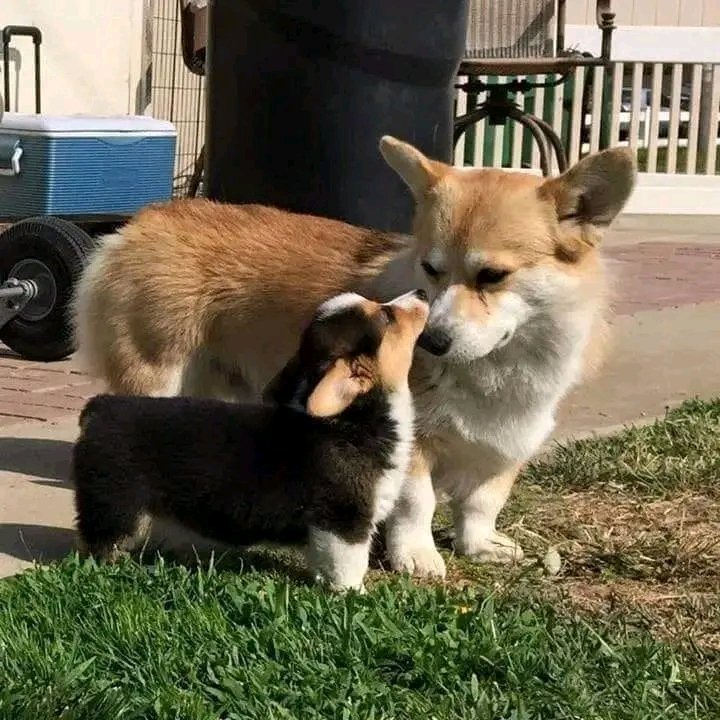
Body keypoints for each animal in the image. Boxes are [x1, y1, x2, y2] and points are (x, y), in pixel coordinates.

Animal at [70, 290, 428, 592]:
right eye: (387, 316)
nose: (422, 293)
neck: (357, 417)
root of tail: (99, 410)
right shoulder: (344, 520)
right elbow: (349, 565)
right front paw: (354, 594)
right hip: (117, 504)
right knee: (98, 541)